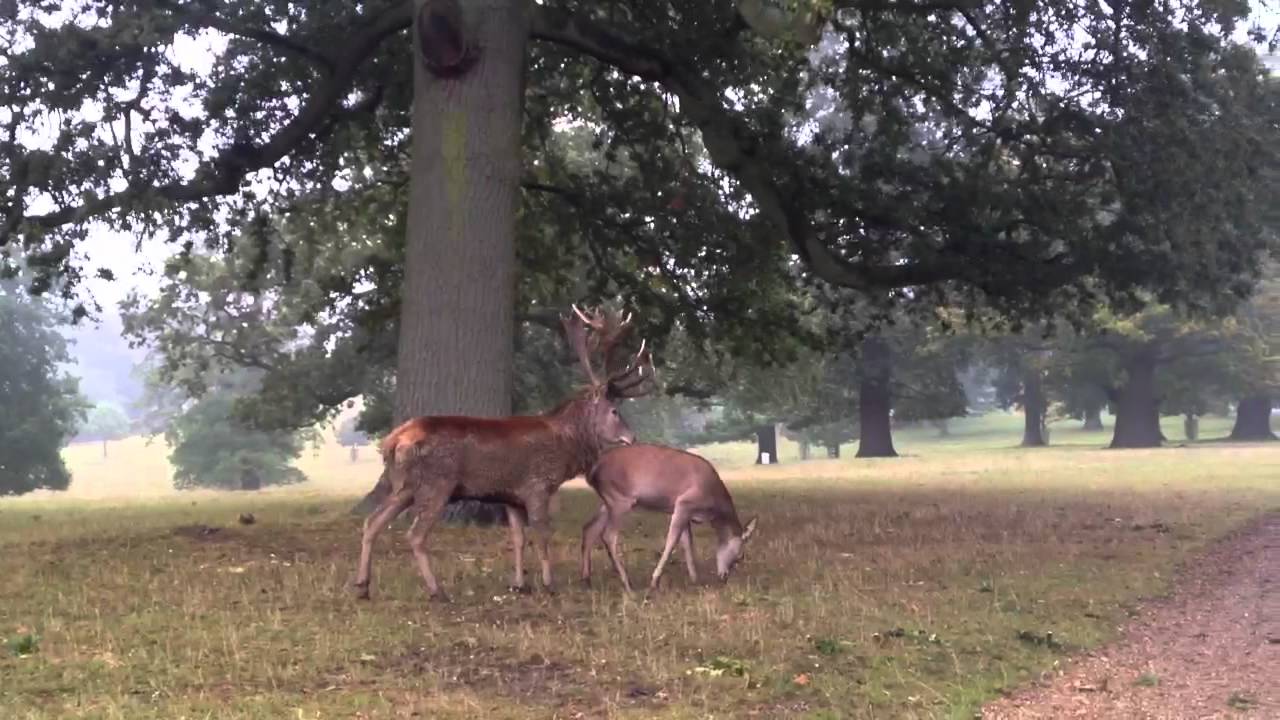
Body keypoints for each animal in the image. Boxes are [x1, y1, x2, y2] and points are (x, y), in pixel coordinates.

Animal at [353, 305, 656, 602]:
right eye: (614, 411)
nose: (632, 437)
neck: (565, 447)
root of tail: (394, 441)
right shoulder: (537, 485)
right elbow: (543, 535)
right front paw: (549, 584)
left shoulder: (511, 495)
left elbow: (518, 538)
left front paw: (519, 584)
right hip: (437, 483)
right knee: (414, 535)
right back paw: (436, 591)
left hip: (400, 485)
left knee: (372, 522)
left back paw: (363, 586)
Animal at [580, 443, 759, 594]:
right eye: (740, 556)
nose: (724, 577)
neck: (713, 508)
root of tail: (593, 470)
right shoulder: (683, 503)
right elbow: (672, 541)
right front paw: (654, 582)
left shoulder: (686, 512)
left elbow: (687, 543)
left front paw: (695, 579)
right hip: (620, 499)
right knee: (608, 535)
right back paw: (627, 583)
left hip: (608, 501)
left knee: (589, 528)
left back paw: (587, 580)